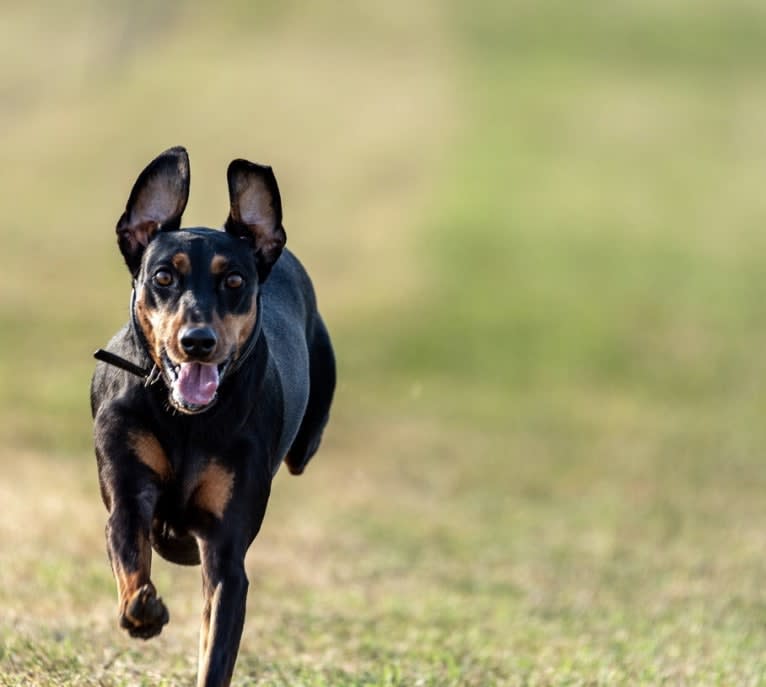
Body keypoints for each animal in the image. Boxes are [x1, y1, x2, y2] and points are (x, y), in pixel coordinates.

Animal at [91, 146, 336, 687]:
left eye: (235, 281)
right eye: (163, 276)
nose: (197, 341)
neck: (188, 420)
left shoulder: (226, 551)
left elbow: (216, 650)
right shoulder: (128, 489)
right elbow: (129, 550)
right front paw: (142, 610)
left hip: (306, 444)